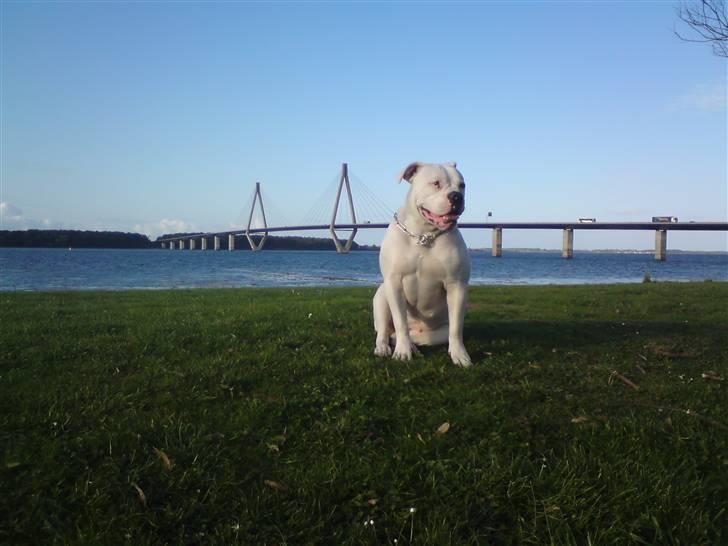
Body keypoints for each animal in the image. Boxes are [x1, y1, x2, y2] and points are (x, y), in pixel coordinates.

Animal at [376, 160, 472, 366]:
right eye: (435, 183)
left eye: (462, 185)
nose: (456, 196)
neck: (424, 234)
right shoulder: (394, 283)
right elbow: (400, 322)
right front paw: (402, 352)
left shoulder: (457, 285)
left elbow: (456, 328)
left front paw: (460, 355)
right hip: (382, 296)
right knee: (385, 330)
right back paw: (385, 347)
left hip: (437, 333)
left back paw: (414, 346)